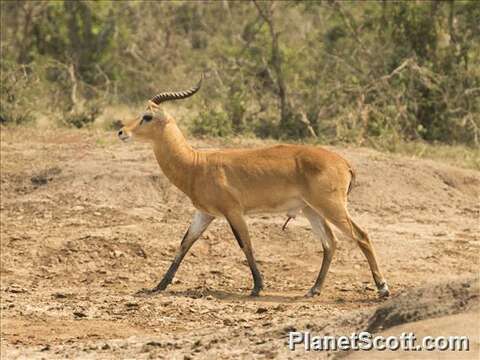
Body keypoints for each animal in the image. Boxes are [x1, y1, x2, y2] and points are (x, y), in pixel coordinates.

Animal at [117, 78, 390, 298]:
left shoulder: (233, 212)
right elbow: (184, 244)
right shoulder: (204, 213)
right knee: (330, 243)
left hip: (331, 207)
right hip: (311, 210)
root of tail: (345, 163)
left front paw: (258, 287)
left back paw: (382, 289)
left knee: (361, 236)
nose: (121, 132)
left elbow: (245, 244)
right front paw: (158, 286)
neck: (196, 164)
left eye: (147, 116)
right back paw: (314, 289)